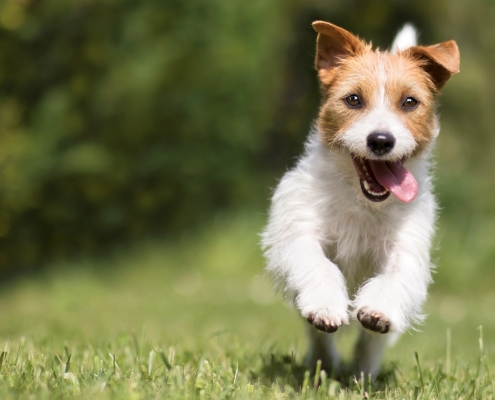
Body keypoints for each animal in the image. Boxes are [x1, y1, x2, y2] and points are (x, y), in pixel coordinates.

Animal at [262, 21, 460, 378]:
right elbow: (320, 264)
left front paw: (378, 311)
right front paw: (325, 305)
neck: (362, 201)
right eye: (353, 99)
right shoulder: (299, 230)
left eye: (409, 102)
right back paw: (324, 362)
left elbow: (393, 278)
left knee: (371, 344)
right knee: (318, 336)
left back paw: (363, 375)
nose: (381, 140)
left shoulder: (406, 250)